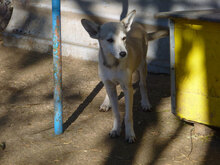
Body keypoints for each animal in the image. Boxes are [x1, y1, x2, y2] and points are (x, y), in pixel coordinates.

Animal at [81, 9, 168, 142]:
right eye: (110, 40)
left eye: (124, 38)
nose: (123, 53)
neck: (113, 64)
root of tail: (137, 25)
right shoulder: (109, 83)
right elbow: (116, 113)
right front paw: (115, 129)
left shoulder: (128, 89)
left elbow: (128, 116)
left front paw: (130, 134)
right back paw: (106, 103)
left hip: (142, 66)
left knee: (142, 85)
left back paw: (145, 103)